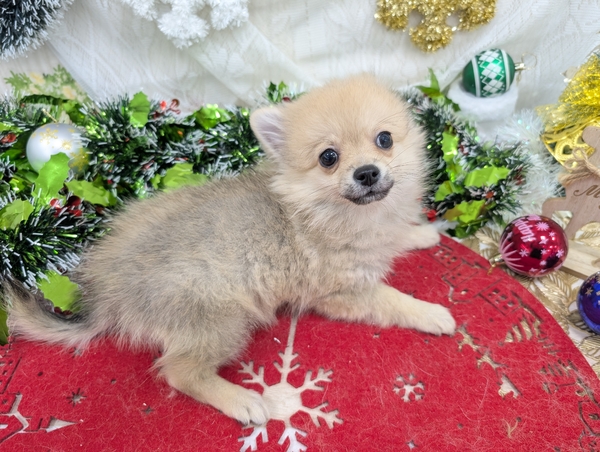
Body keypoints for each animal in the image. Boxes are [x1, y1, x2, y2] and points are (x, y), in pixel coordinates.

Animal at [6, 75, 456, 426]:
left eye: (384, 139)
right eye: (329, 157)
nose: (366, 173)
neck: (340, 213)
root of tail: (105, 297)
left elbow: (397, 234)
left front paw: (421, 233)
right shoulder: (343, 292)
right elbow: (393, 300)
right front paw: (432, 313)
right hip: (221, 318)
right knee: (180, 372)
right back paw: (244, 401)